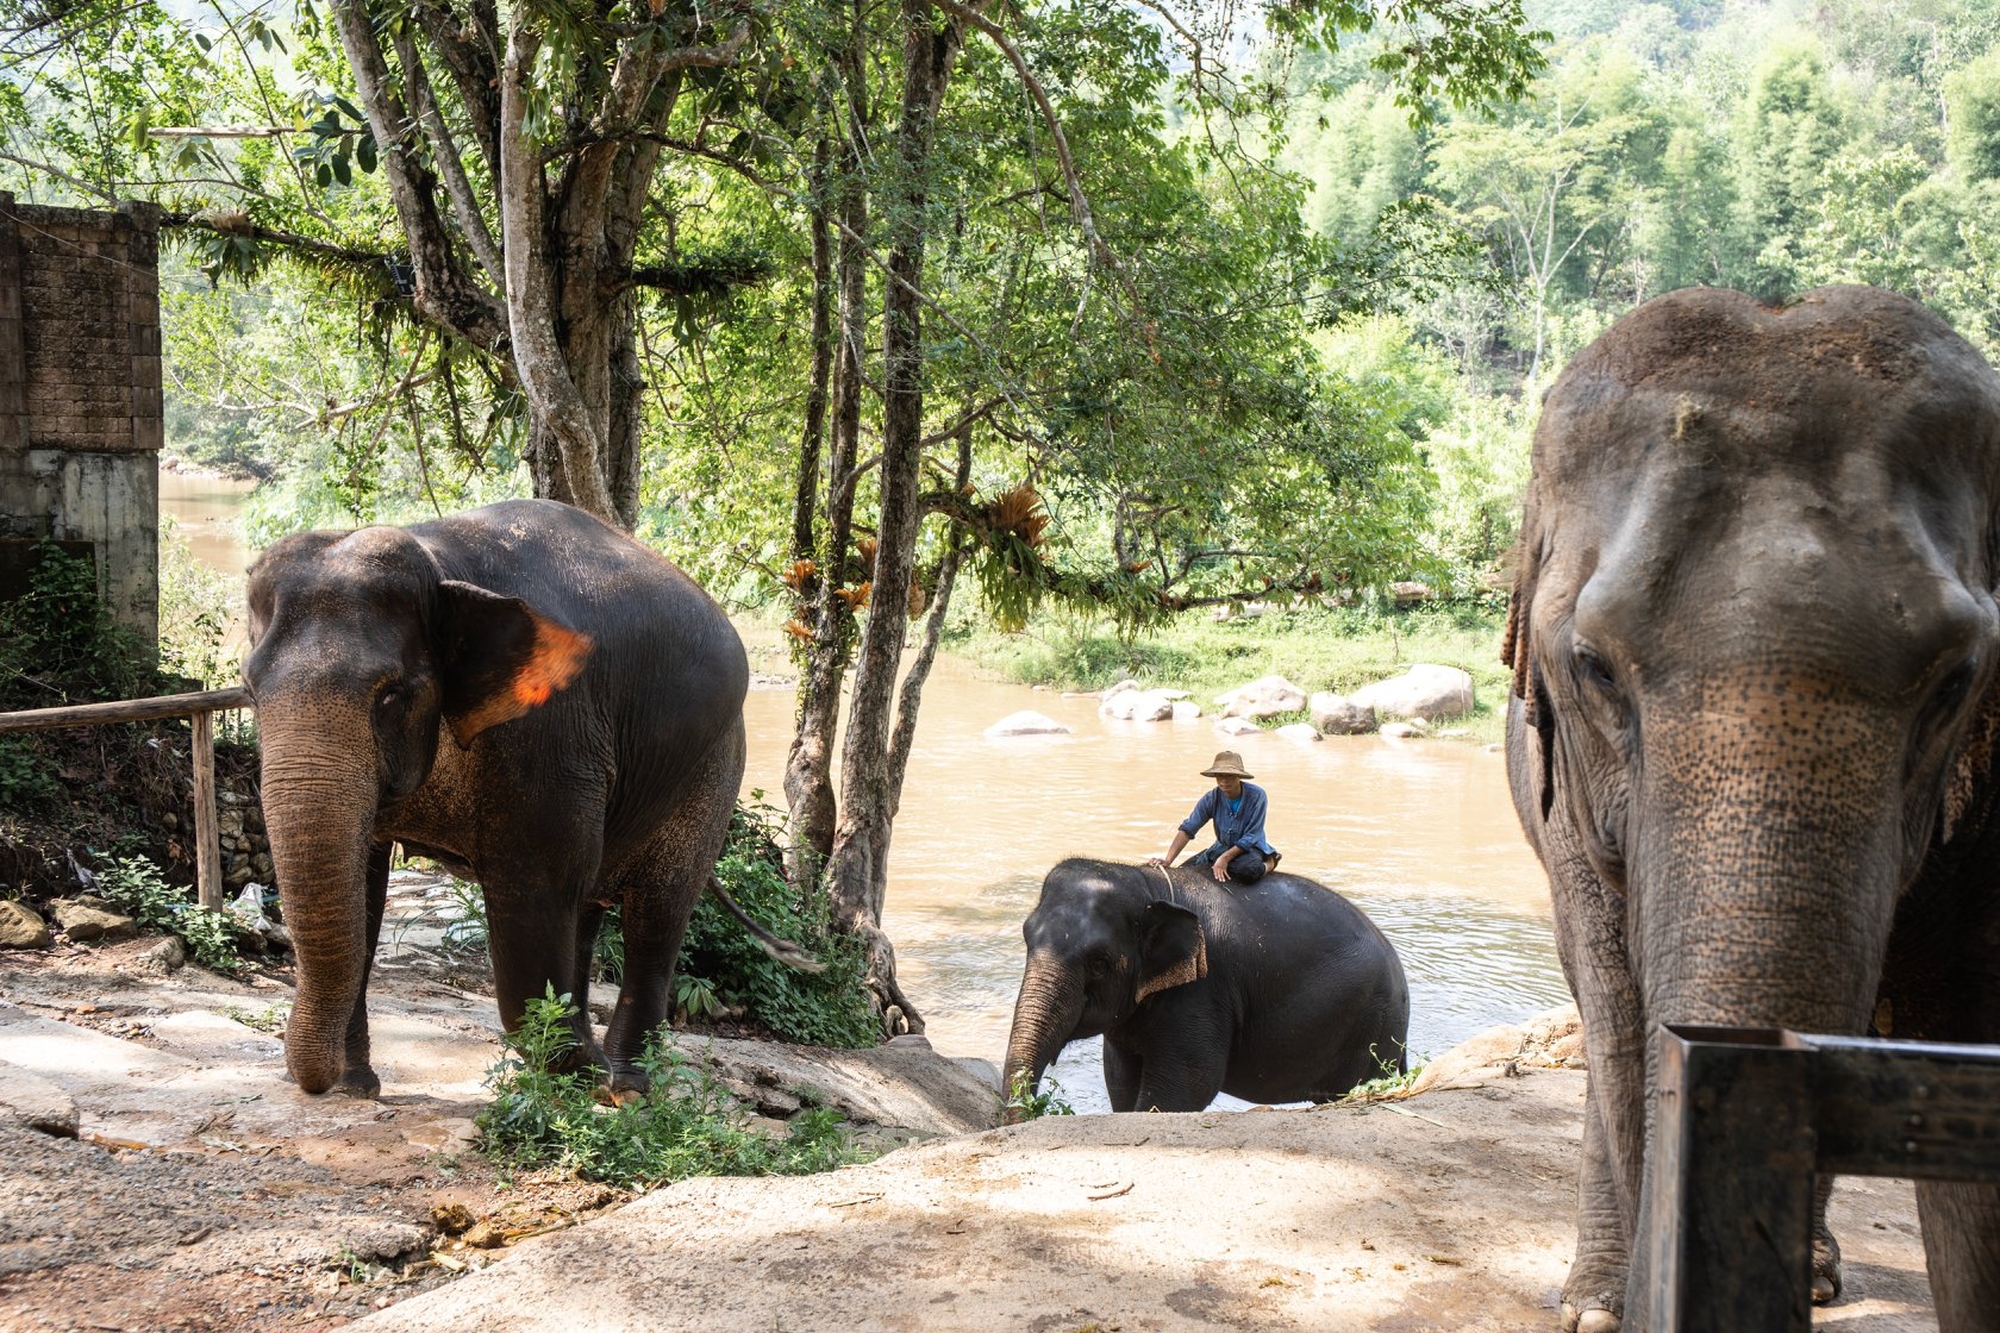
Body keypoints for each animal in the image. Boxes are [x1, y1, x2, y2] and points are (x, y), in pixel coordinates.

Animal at [244, 497, 797, 1099]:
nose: (314, 1083)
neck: (437, 558)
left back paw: (622, 1085)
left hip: (715, 768)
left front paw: (575, 1072)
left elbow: (537, 881)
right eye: (249, 690)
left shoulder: (550, 733)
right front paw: (355, 1088)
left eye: (391, 695)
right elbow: (363, 883)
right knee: (588, 904)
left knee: (657, 913)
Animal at [1002, 857, 1409, 1114]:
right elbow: (1120, 1080)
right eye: (1026, 938)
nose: (1034, 1110)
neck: (1143, 882)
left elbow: (1185, 1086)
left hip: (1372, 1024)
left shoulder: (1203, 990)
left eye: (1099, 963)